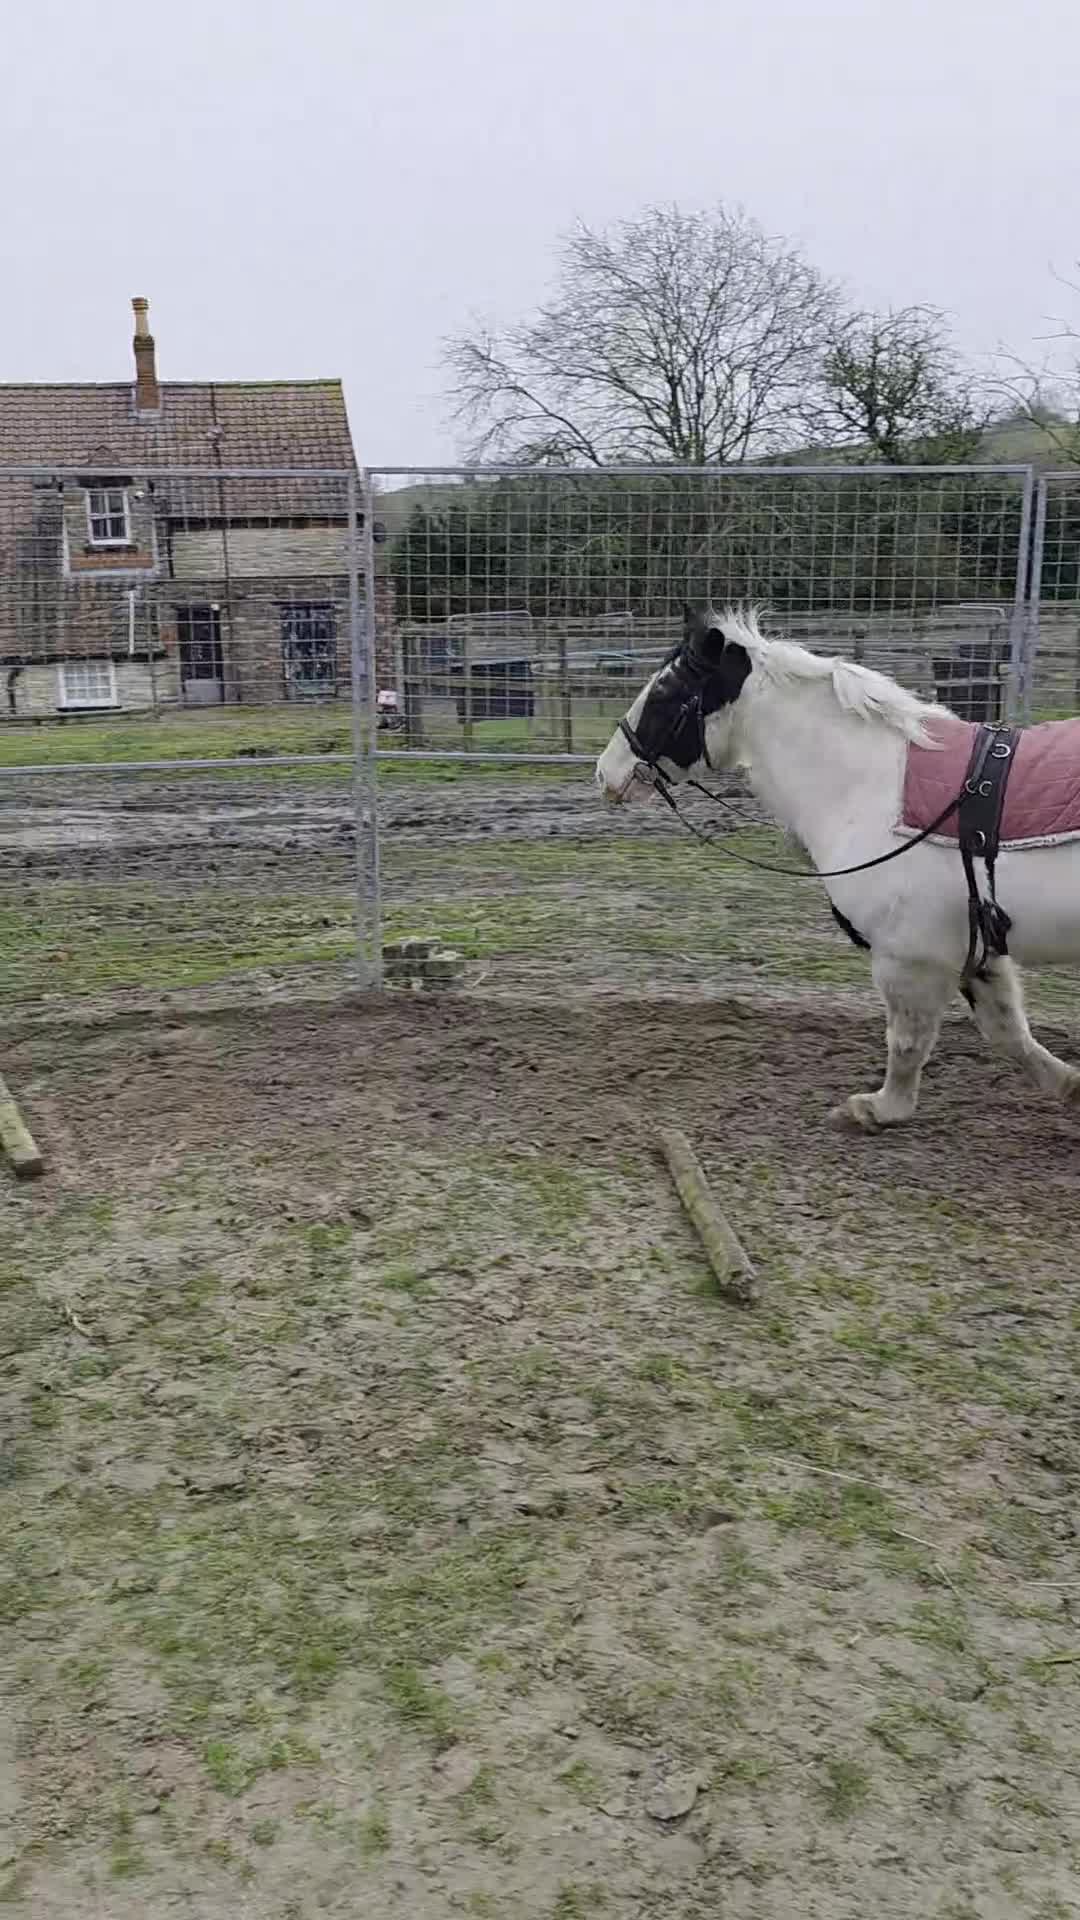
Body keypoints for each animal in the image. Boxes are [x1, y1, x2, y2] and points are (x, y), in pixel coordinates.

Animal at [595, 605, 1080, 1130]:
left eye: (664, 693)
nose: (605, 772)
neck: (872, 788)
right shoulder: (978, 951)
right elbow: (1010, 1034)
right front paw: (1070, 1086)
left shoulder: (910, 959)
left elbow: (906, 1043)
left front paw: (880, 1108)